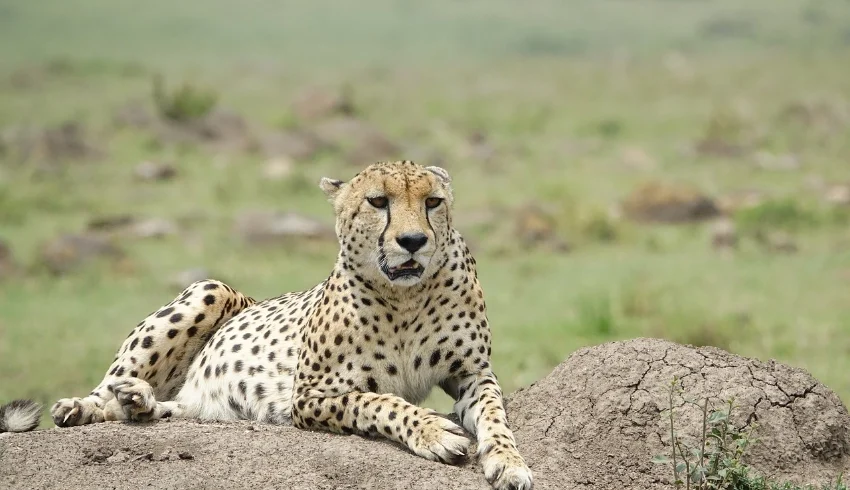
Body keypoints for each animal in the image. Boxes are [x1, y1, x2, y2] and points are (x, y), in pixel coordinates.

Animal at [0, 160, 533, 490]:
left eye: (434, 202)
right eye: (378, 202)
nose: (413, 241)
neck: (404, 296)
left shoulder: (471, 373)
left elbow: (494, 415)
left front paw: (509, 463)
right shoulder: (311, 395)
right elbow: (380, 401)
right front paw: (434, 430)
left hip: (200, 396)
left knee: (172, 408)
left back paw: (141, 403)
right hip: (209, 288)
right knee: (107, 390)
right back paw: (86, 405)